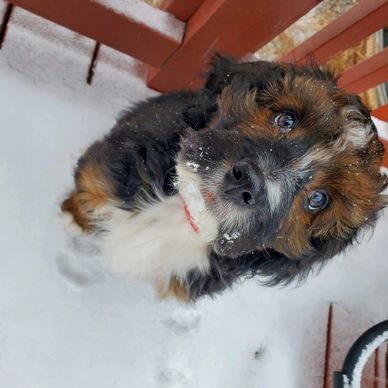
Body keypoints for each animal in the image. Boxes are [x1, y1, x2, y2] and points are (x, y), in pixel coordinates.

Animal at [60, 56, 384, 302]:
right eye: (286, 119)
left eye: (318, 200)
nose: (248, 183)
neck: (185, 212)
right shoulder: (104, 172)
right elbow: (89, 188)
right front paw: (76, 217)